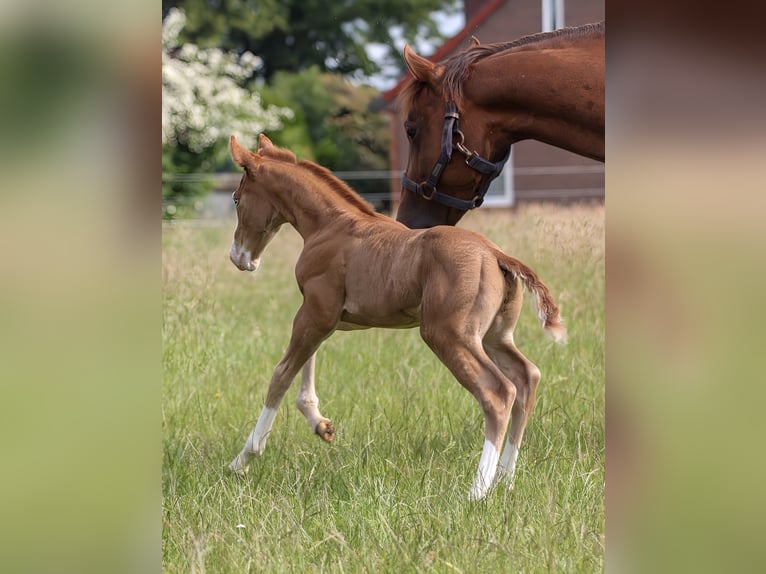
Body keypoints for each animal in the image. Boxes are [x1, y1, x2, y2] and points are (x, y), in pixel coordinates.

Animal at [227, 134, 566, 500]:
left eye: (236, 199)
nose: (238, 257)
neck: (329, 226)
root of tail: (496, 254)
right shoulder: (327, 316)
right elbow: (306, 362)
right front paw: (321, 425)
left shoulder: (316, 311)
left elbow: (282, 373)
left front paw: (244, 459)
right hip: (494, 337)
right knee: (527, 376)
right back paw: (505, 480)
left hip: (447, 335)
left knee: (499, 392)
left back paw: (477, 491)